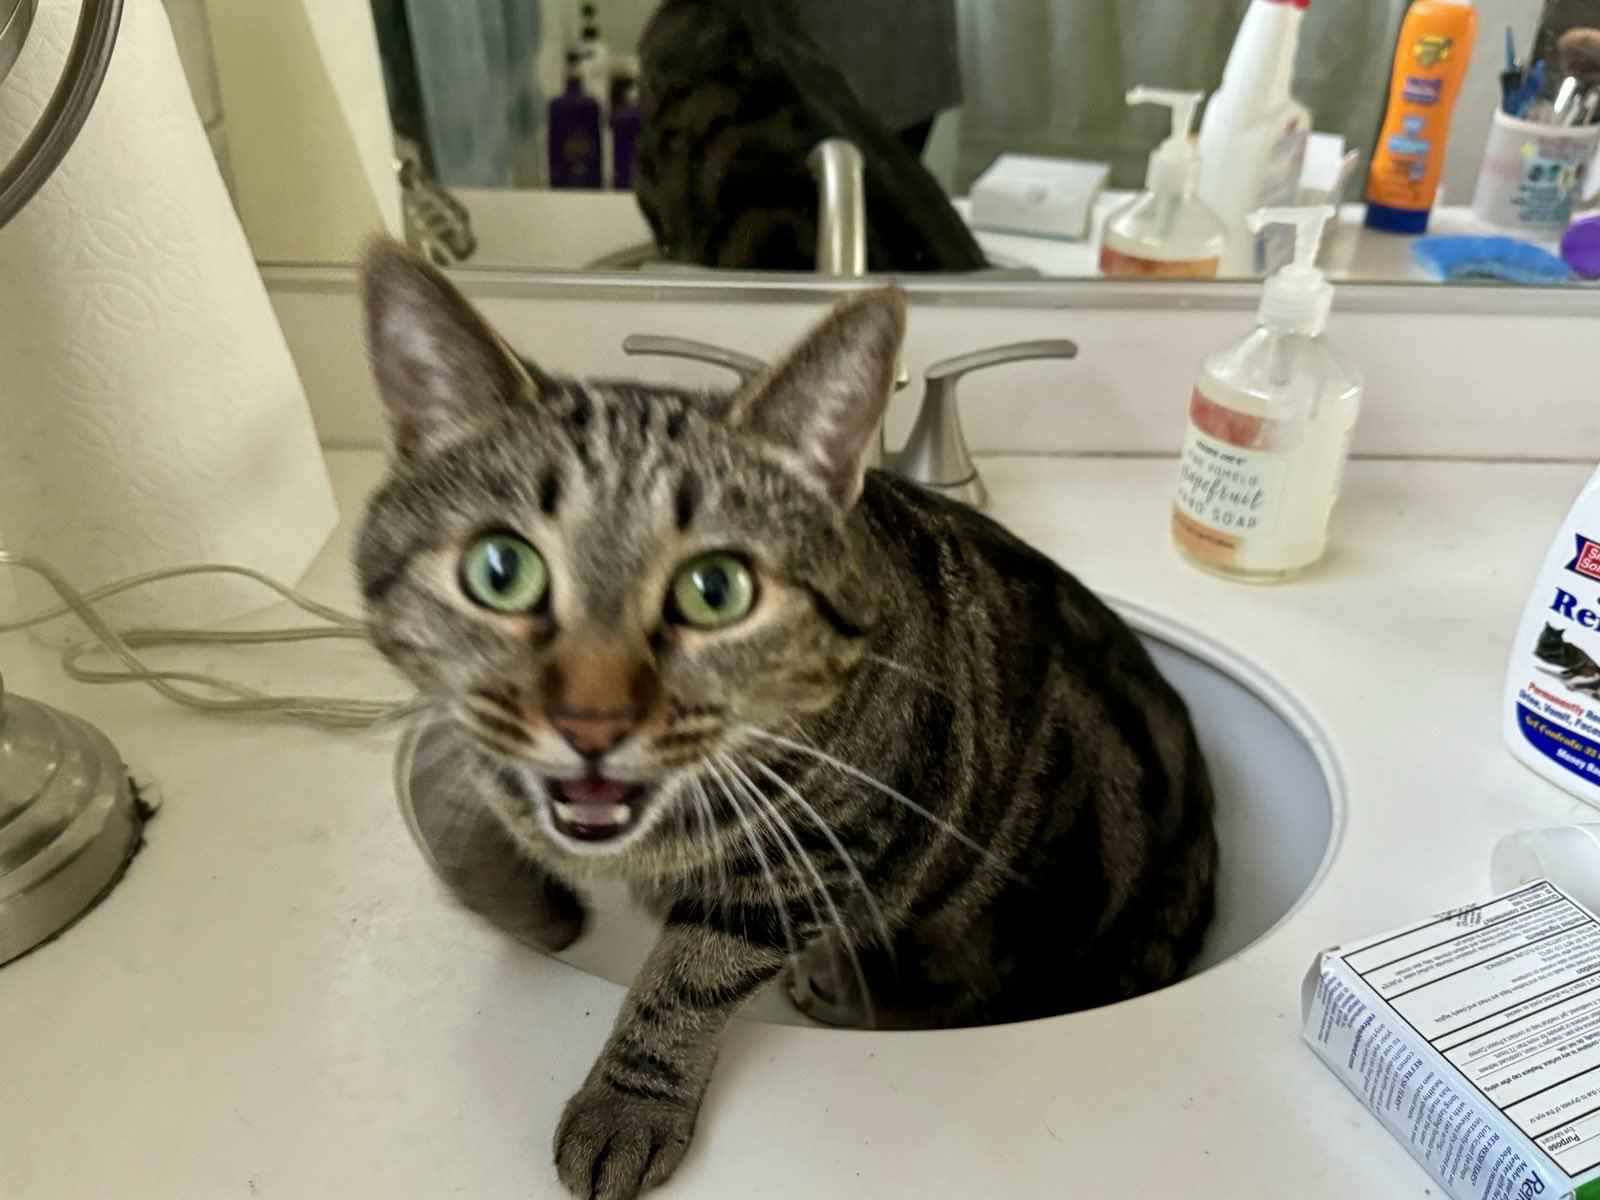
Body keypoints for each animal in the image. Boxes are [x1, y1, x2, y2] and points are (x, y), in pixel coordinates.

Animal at [356, 240, 1216, 1196]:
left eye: (716, 589)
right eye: (500, 571)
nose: (591, 721)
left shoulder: (805, 861)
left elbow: (685, 982)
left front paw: (630, 1101)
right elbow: (469, 812)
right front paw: (528, 900)